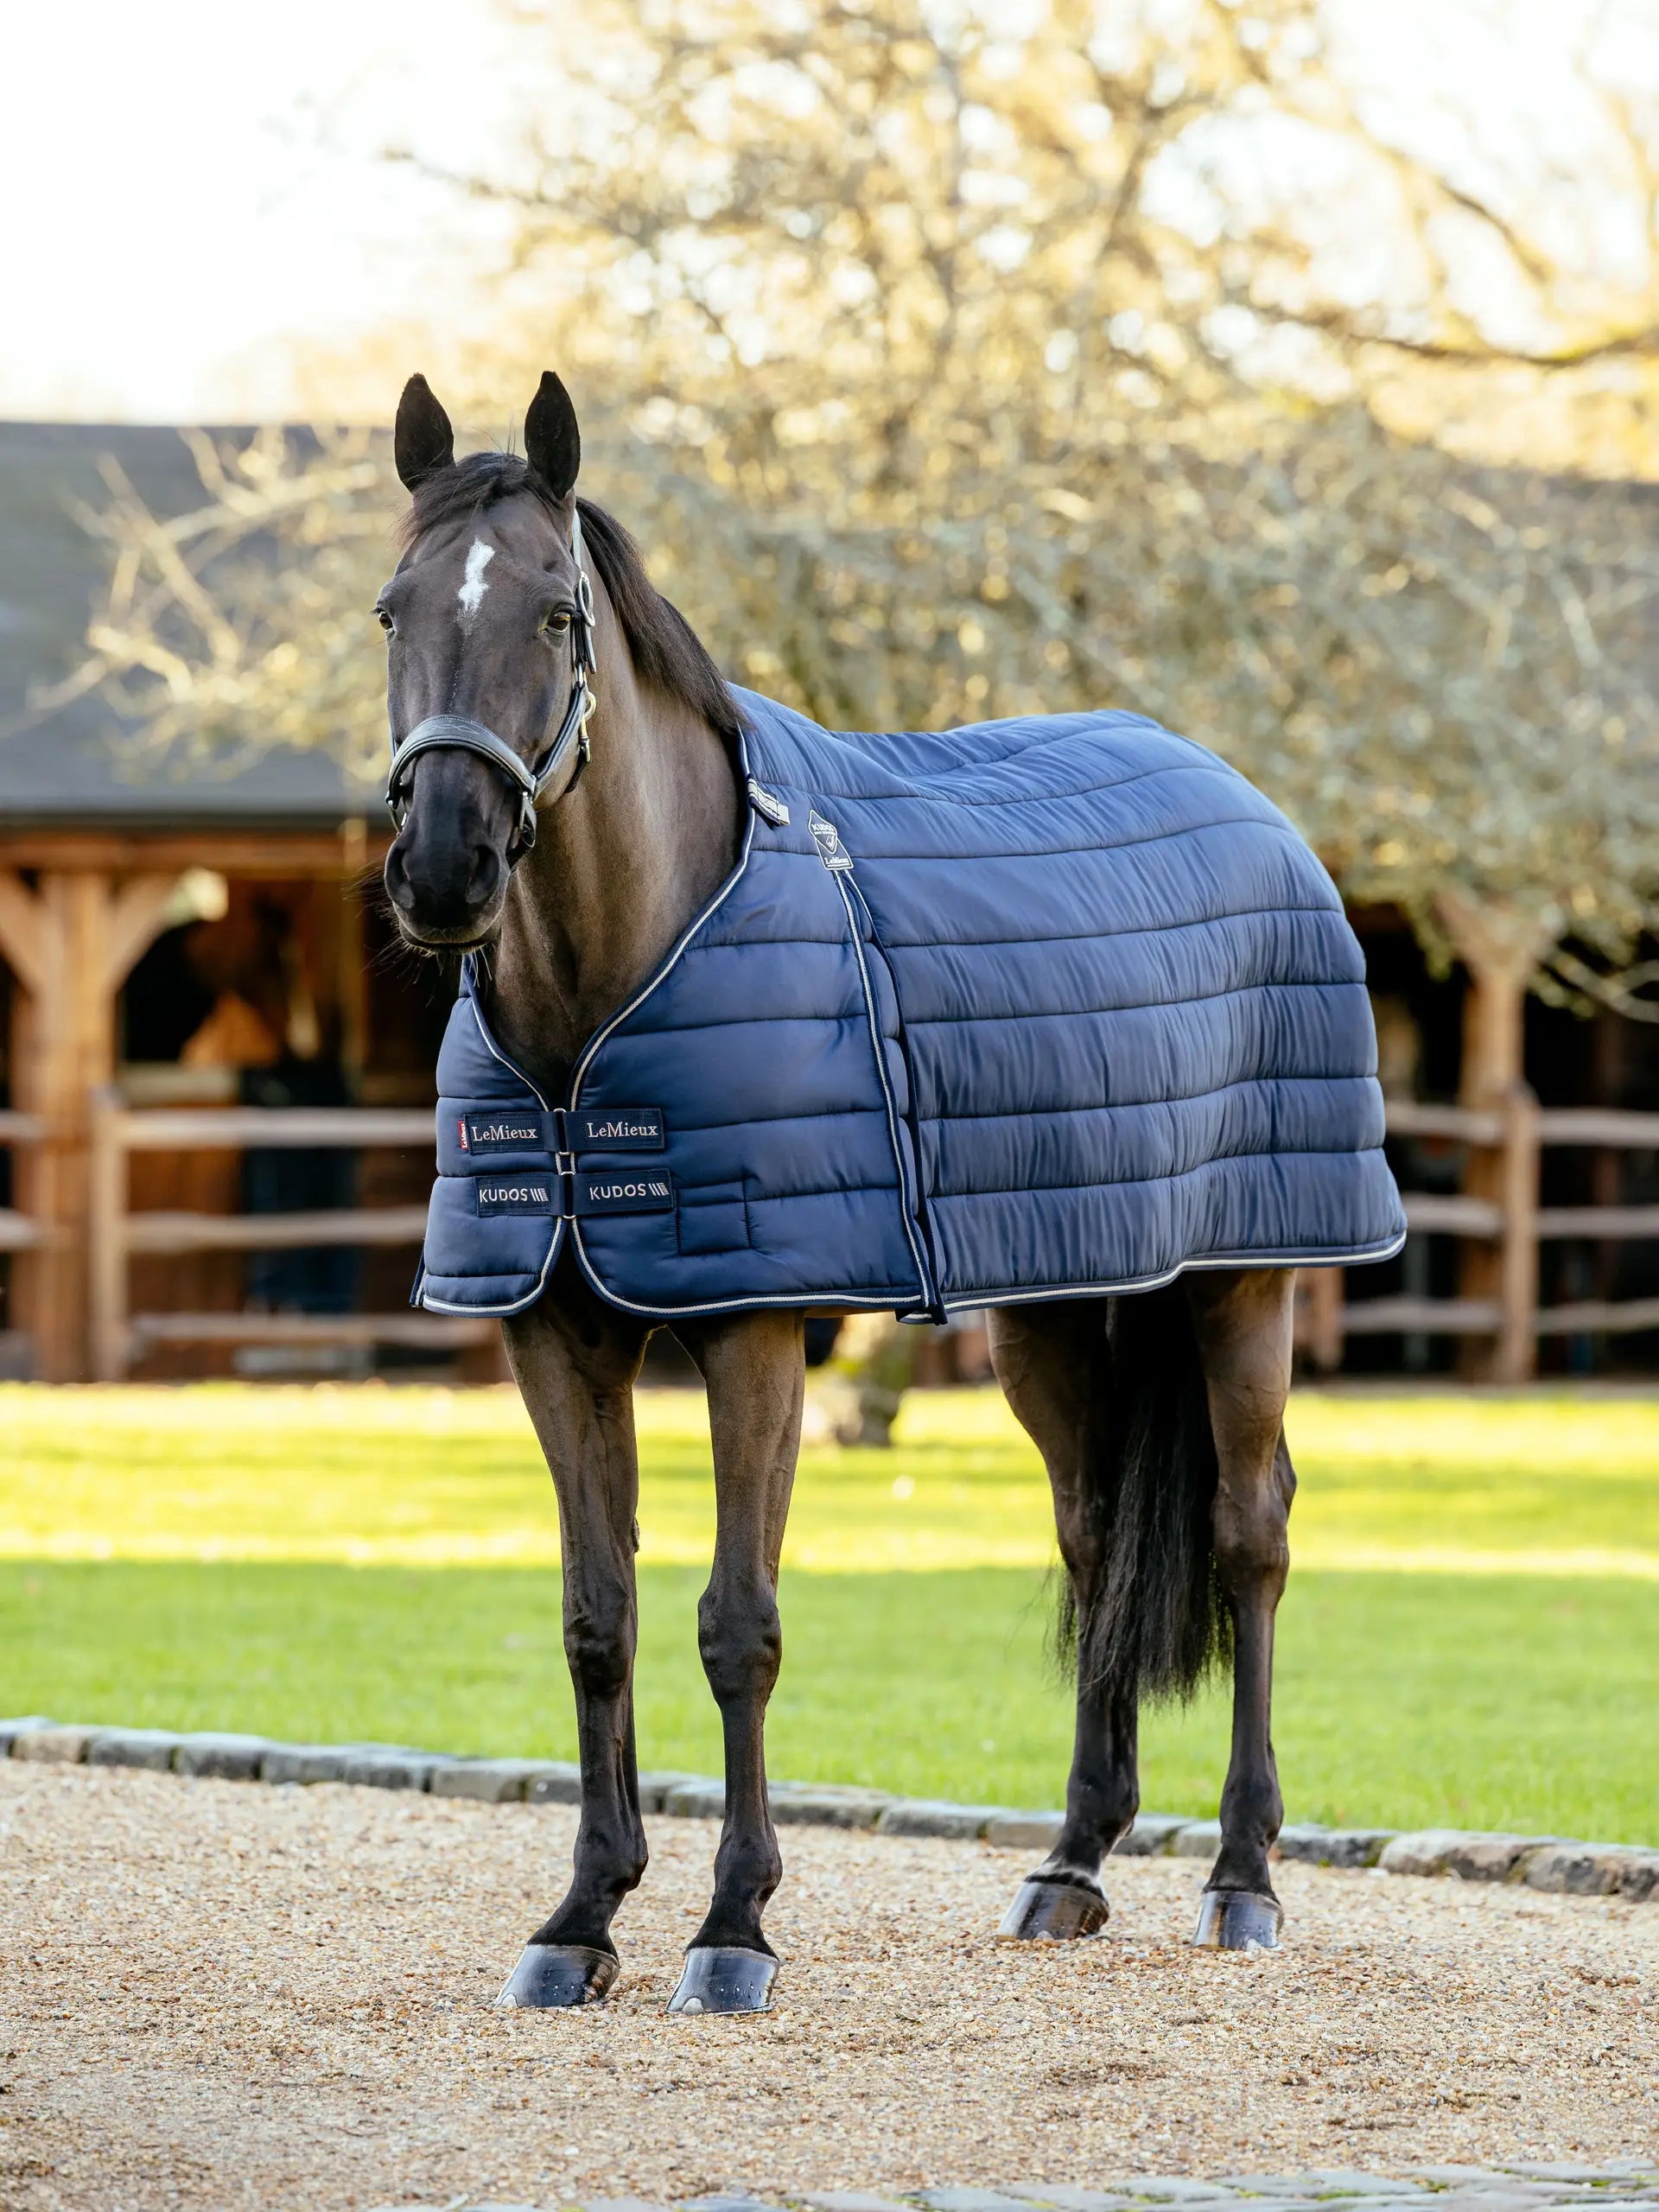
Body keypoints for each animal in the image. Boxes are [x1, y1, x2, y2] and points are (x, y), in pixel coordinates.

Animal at [379, 369, 1391, 2015]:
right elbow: (600, 1621)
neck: (602, 1006)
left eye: (556, 614)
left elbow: (738, 1626)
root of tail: (1256, 807)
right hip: (1055, 1307)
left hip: (1244, 1284)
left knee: (1252, 1535)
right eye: (393, 609)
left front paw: (733, 1928)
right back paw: (1071, 1866)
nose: (446, 865)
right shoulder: (554, 1331)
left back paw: (1243, 1879)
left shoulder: (752, 1327)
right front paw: (581, 1918)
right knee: (1096, 1537)